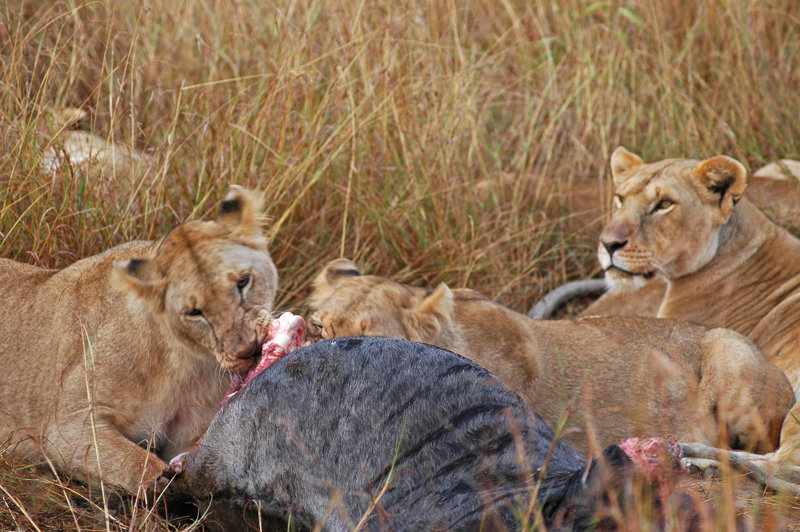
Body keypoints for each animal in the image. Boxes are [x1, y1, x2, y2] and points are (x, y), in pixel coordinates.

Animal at [0, 186, 277, 494]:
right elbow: (137, 464)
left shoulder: (193, 433)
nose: (247, 349)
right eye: (194, 312)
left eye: (243, 281)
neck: (186, 365)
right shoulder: (67, 426)